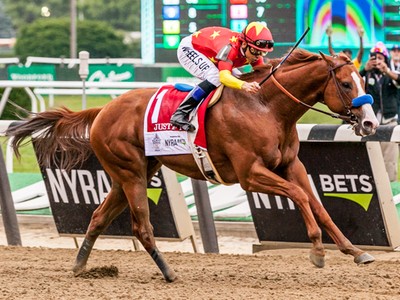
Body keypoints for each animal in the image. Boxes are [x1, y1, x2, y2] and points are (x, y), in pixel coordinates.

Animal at [7, 49, 380, 282]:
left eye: (363, 80)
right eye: (345, 83)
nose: (370, 123)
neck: (265, 107)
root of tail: (102, 110)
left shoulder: (290, 166)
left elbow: (317, 203)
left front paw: (354, 250)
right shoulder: (250, 175)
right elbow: (300, 198)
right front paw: (317, 250)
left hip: (131, 174)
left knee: (99, 216)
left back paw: (80, 265)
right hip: (131, 174)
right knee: (142, 227)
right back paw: (169, 273)